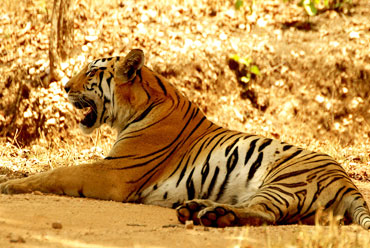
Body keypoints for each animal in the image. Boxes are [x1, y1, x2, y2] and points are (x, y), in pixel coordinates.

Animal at [0, 49, 370, 230]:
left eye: (91, 72)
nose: (64, 87)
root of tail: (347, 181)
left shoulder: (113, 173)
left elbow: (58, 173)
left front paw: (10, 185)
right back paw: (199, 210)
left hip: (284, 180)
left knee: (264, 213)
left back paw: (214, 216)